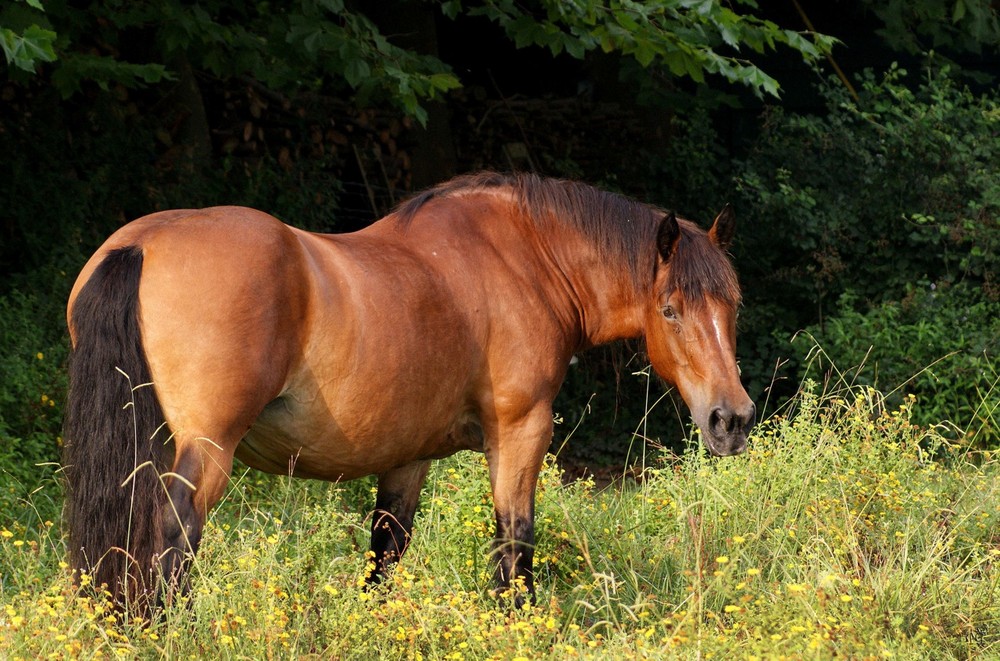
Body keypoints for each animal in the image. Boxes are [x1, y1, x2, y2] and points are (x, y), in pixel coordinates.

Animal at [60, 169, 752, 612]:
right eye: (670, 309)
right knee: (169, 548)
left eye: (733, 306)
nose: (733, 420)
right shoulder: (521, 432)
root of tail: (138, 246)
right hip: (206, 452)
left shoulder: (407, 457)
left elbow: (385, 556)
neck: (523, 259)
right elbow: (514, 544)